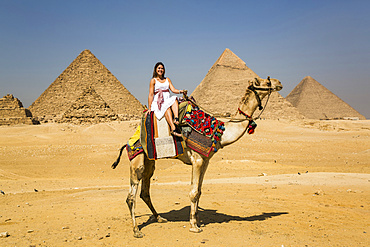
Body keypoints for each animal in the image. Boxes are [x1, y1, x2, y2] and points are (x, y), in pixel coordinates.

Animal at [112, 76, 284, 237]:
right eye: (266, 82)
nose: (279, 83)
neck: (220, 133)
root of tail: (128, 141)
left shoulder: (206, 161)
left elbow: (199, 191)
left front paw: (197, 220)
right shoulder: (197, 159)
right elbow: (193, 192)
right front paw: (194, 226)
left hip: (149, 160)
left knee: (145, 190)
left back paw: (159, 218)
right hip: (137, 159)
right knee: (131, 195)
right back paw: (136, 230)